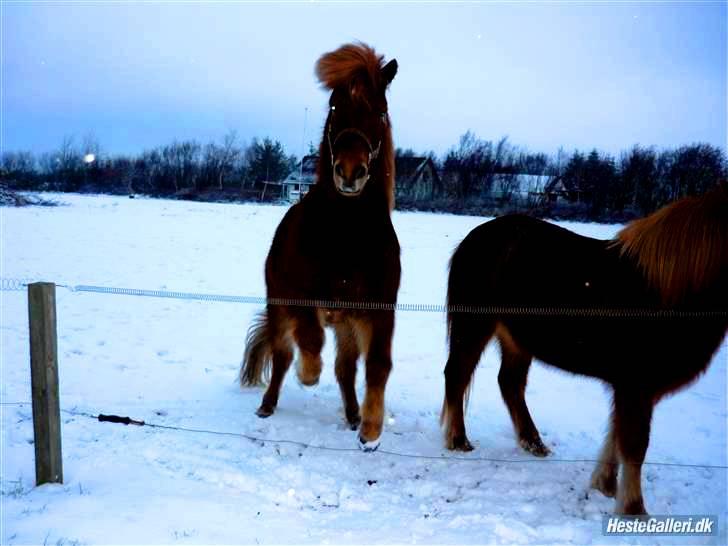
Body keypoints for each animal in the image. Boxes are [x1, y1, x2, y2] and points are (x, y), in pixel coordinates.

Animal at [240, 43, 400, 450]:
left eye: (380, 111)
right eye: (333, 107)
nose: (350, 172)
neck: (345, 237)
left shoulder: (378, 309)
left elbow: (377, 365)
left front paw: (371, 429)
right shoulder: (300, 298)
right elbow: (308, 342)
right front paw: (308, 372)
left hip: (346, 324)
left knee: (345, 369)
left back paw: (352, 414)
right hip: (280, 305)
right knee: (283, 353)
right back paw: (268, 404)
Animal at [440, 185, 724, 512]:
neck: (667, 288)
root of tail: (475, 237)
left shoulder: (630, 388)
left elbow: (617, 434)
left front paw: (606, 485)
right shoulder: (636, 385)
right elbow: (634, 445)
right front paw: (634, 509)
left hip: (515, 340)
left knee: (509, 383)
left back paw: (533, 443)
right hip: (474, 327)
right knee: (457, 374)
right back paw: (458, 440)